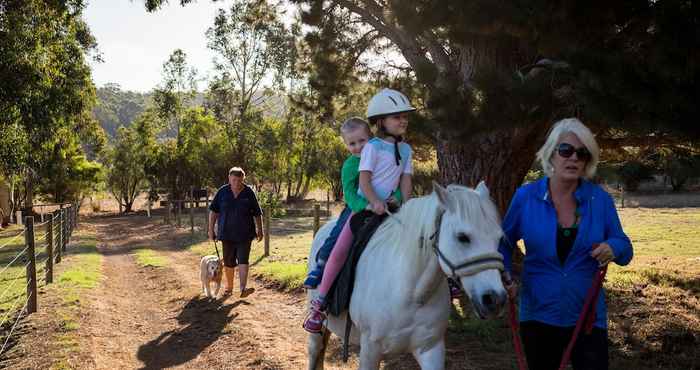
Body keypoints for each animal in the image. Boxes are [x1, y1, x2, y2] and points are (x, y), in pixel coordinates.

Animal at [308, 183, 506, 370]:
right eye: (462, 237)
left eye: (500, 239)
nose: (495, 300)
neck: (411, 294)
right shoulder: (370, 349)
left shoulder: (431, 349)